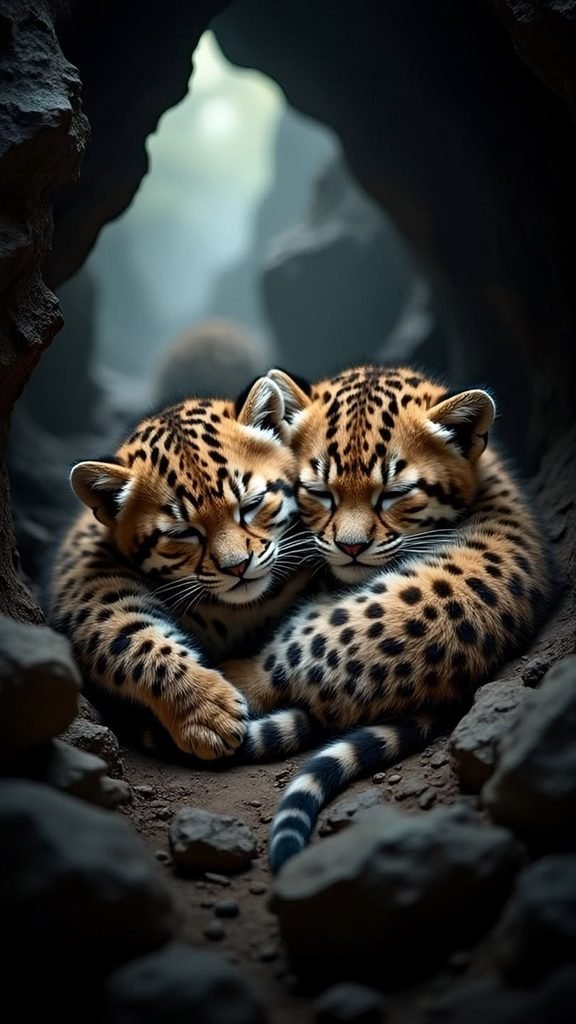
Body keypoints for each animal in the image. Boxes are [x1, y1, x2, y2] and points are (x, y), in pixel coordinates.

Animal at [47, 376, 318, 760]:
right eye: (182, 533)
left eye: (251, 505)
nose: (238, 567)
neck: (240, 611)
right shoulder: (89, 581)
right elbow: (128, 636)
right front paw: (207, 712)